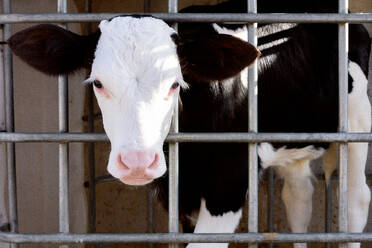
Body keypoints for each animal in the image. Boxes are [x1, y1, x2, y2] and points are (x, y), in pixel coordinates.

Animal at [7, 0, 370, 248]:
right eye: (97, 83)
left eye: (175, 83)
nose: (137, 162)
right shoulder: (178, 194)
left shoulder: (228, 184)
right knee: (298, 197)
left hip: (356, 122)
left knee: (355, 199)